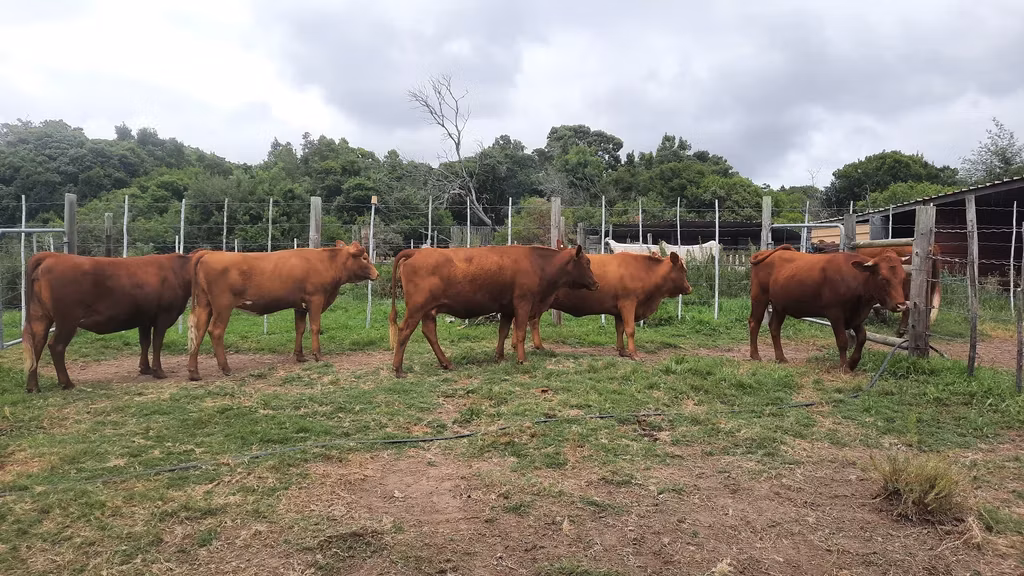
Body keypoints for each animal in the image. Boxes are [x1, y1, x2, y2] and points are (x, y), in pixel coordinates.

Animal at [22, 251, 197, 393]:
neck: (178, 271)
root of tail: (52, 255)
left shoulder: (144, 319)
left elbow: (145, 342)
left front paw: (145, 368)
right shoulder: (163, 316)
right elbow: (157, 343)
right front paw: (158, 371)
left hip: (40, 316)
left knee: (36, 345)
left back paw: (33, 387)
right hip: (67, 320)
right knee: (56, 346)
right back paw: (67, 383)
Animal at [186, 242, 379, 381]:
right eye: (364, 257)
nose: (377, 274)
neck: (326, 263)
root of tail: (210, 253)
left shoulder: (300, 306)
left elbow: (300, 329)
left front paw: (300, 356)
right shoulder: (315, 300)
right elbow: (314, 327)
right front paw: (318, 355)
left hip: (205, 305)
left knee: (199, 332)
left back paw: (194, 372)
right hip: (223, 306)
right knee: (216, 331)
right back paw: (225, 368)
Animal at [387, 244, 600, 378]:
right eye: (587, 263)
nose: (596, 284)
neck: (538, 264)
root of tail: (417, 252)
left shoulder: (507, 309)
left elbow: (503, 332)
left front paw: (500, 356)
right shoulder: (523, 303)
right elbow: (520, 332)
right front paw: (522, 359)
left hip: (428, 311)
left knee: (429, 332)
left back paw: (446, 363)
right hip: (416, 309)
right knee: (405, 332)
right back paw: (398, 369)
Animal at [526, 249, 693, 359]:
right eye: (684, 270)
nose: (690, 288)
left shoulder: (619, 309)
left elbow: (620, 329)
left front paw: (622, 351)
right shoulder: (628, 304)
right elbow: (630, 330)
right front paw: (634, 354)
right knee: (533, 321)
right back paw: (539, 346)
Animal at [748, 244, 908, 373]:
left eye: (903, 277)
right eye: (883, 278)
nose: (901, 305)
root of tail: (764, 252)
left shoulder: (855, 316)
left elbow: (862, 337)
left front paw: (853, 363)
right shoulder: (835, 314)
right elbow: (842, 341)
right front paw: (844, 367)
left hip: (779, 305)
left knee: (774, 327)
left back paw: (781, 358)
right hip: (759, 298)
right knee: (754, 323)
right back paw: (755, 355)